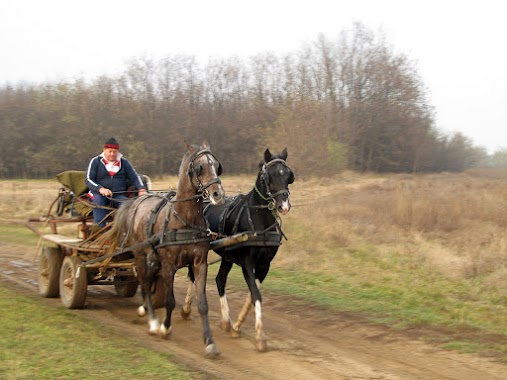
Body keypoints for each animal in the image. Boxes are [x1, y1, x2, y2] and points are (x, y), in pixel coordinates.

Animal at [183, 148, 294, 350]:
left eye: (288, 175)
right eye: (269, 176)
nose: (284, 206)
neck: (259, 221)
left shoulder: (264, 265)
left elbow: (252, 295)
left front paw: (237, 326)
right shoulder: (247, 262)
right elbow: (256, 294)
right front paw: (260, 336)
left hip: (227, 256)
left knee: (220, 279)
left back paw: (226, 320)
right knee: (193, 276)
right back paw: (186, 308)